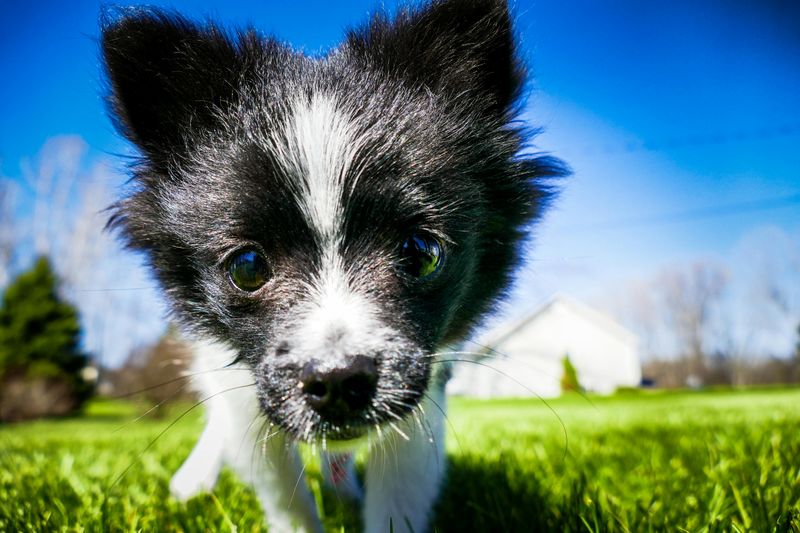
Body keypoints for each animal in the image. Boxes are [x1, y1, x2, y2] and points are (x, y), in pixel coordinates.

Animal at [100, 1, 564, 528]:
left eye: (421, 253)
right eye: (247, 267)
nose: (339, 379)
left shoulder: (424, 386)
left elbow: (397, 497)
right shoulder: (243, 385)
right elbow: (283, 493)